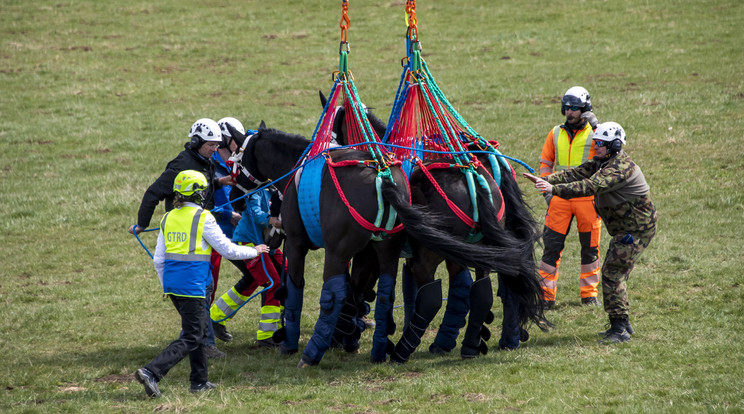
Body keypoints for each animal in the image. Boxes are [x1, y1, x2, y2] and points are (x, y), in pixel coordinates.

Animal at [227, 120, 528, 366]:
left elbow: (299, 288)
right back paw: (465, 345)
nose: (234, 198)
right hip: (468, 250)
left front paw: (297, 341)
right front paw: (348, 337)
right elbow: (361, 291)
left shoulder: (300, 246)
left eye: (235, 160)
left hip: (387, 254)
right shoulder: (370, 254)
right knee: (482, 287)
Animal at [320, 94, 548, 362]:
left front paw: (344, 335)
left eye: (334, 128)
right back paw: (480, 343)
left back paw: (406, 350)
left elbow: (357, 289)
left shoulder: (372, 256)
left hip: (435, 256)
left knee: (435, 295)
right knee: (490, 287)